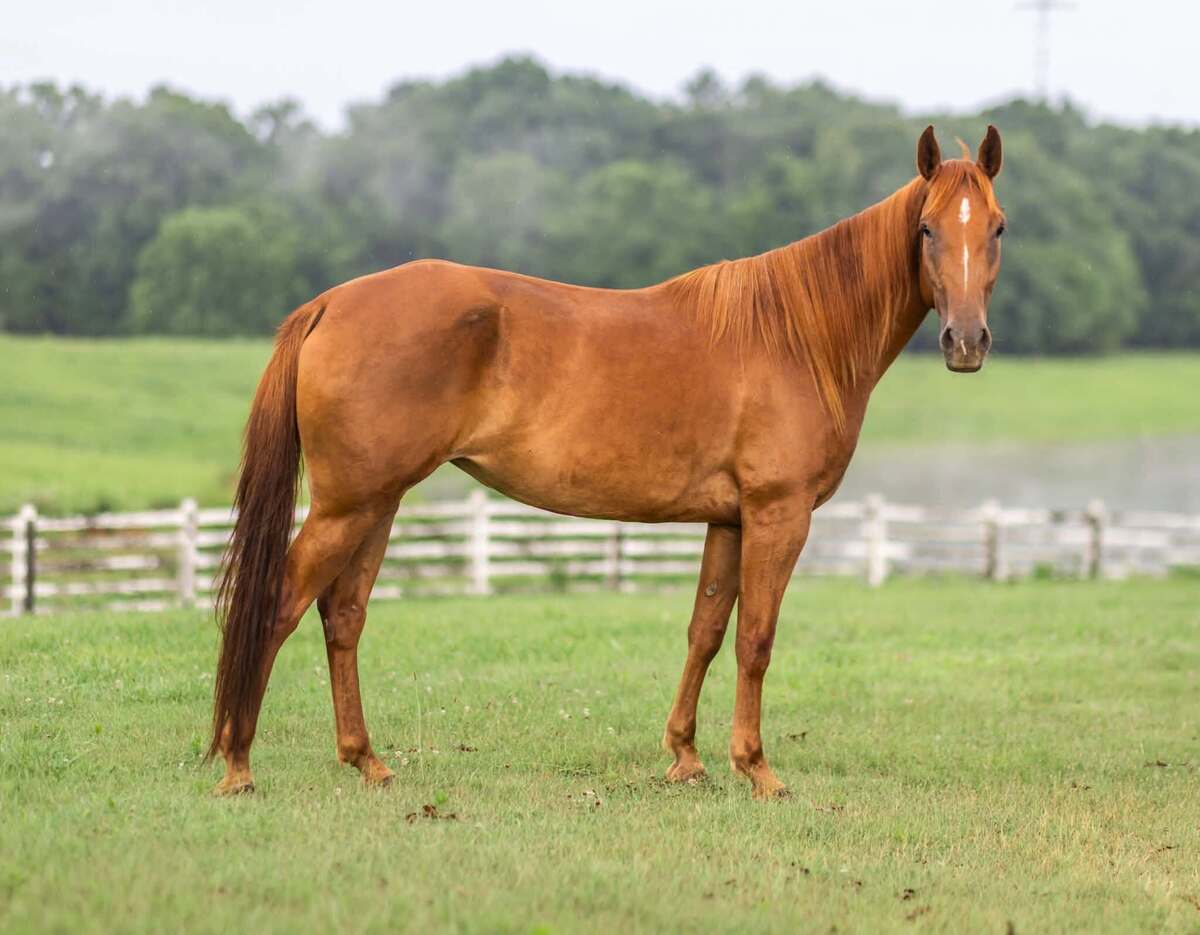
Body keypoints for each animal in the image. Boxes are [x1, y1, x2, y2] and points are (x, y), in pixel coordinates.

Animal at [209, 125, 1005, 799]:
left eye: (996, 227)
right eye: (927, 228)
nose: (966, 343)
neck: (794, 336)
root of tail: (331, 304)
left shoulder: (730, 520)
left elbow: (705, 631)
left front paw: (686, 756)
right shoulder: (778, 514)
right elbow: (755, 638)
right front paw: (758, 769)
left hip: (378, 502)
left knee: (342, 614)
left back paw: (366, 761)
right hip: (349, 504)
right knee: (278, 605)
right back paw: (239, 764)